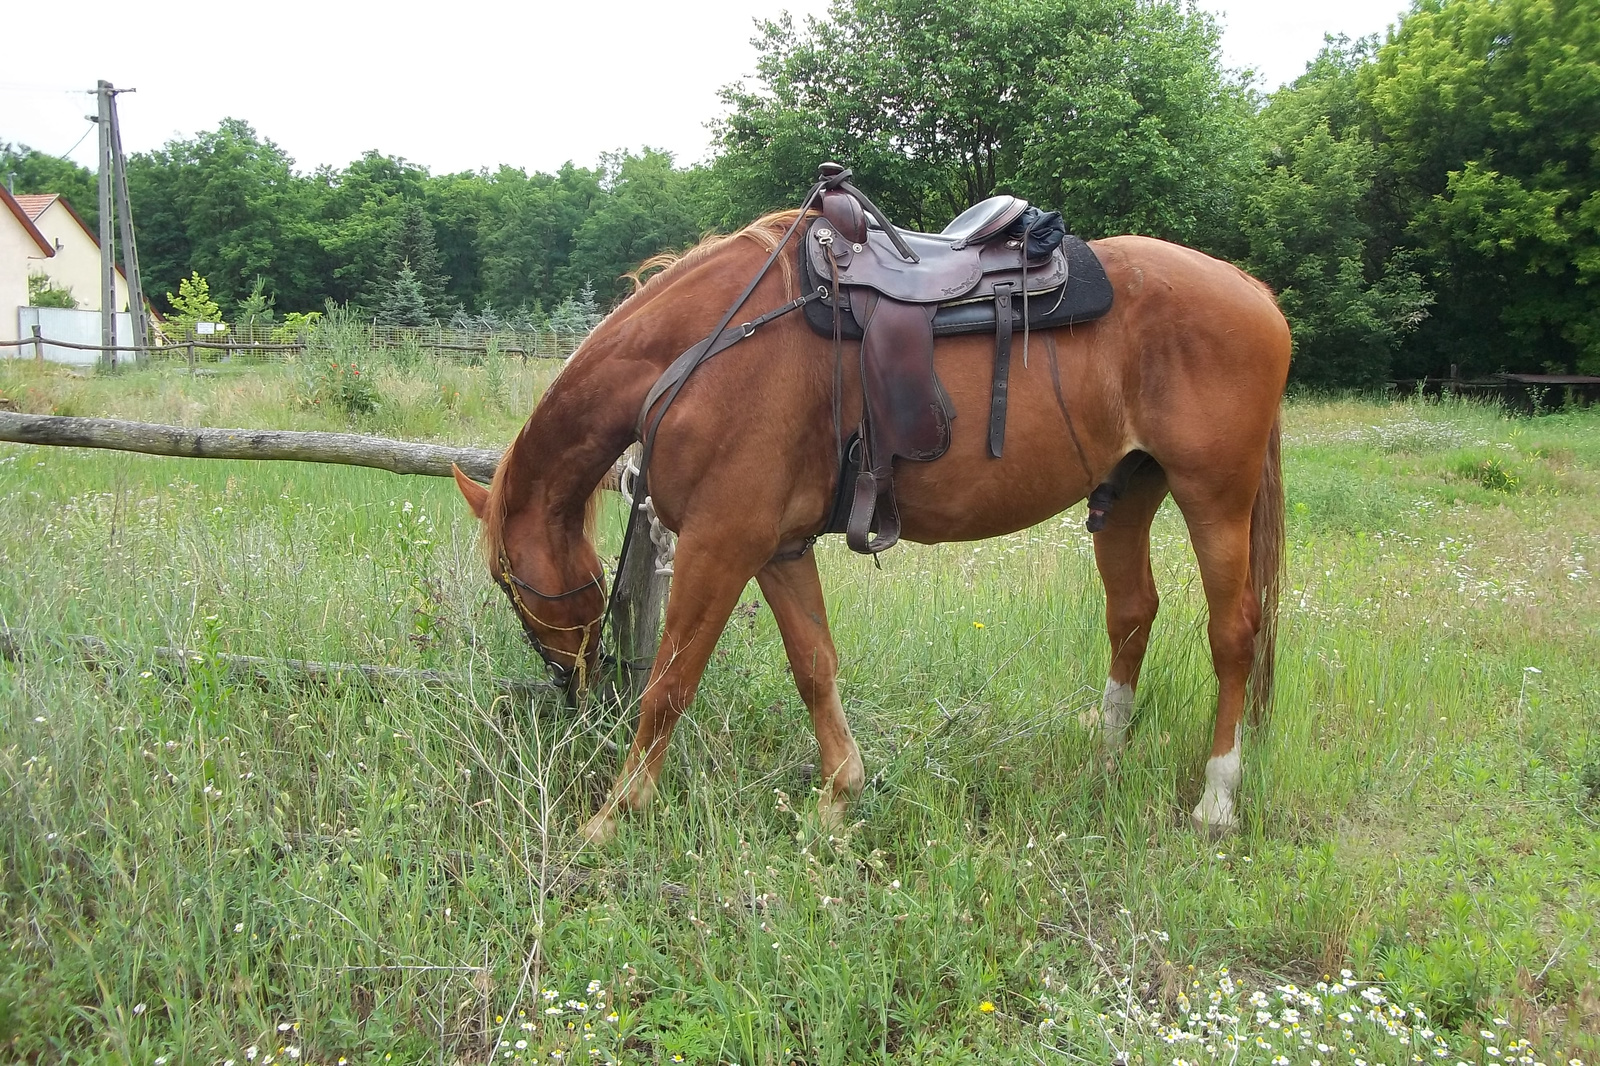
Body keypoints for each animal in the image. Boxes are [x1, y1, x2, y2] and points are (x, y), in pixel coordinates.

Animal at [451, 209, 1286, 838]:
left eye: (504, 578)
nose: (567, 679)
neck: (702, 347)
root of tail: (1253, 289)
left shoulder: (721, 543)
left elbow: (669, 686)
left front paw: (613, 816)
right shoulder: (776, 548)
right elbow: (814, 667)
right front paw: (839, 795)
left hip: (1214, 497)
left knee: (1233, 633)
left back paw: (1217, 799)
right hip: (1126, 494)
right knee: (1132, 614)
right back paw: (1106, 756)